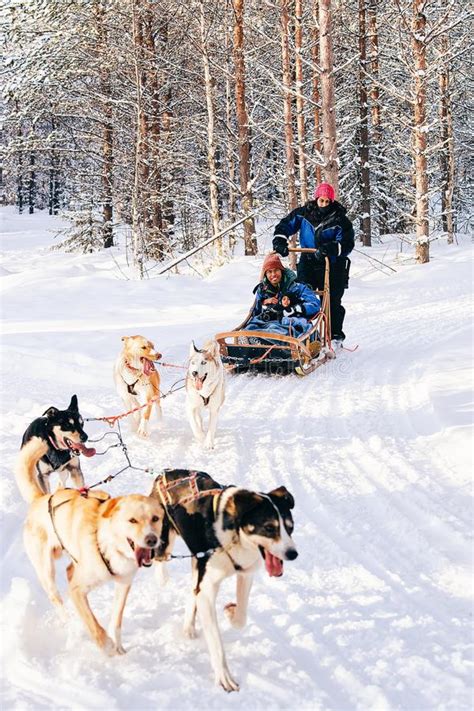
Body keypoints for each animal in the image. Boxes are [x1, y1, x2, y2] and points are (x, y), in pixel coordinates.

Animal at [15, 440, 165, 656]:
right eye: (132, 520)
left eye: (155, 518)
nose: (152, 540)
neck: (108, 544)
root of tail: (41, 498)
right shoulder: (78, 591)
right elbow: (93, 624)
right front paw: (106, 645)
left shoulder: (124, 583)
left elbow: (116, 619)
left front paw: (118, 645)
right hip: (46, 570)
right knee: (56, 597)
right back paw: (69, 622)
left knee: (69, 571)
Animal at [150, 470, 298, 692]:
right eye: (269, 528)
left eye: (290, 527)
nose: (293, 554)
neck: (234, 536)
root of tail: (166, 472)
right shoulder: (208, 590)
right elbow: (216, 642)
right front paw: (224, 677)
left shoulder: (245, 574)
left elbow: (242, 617)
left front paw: (231, 612)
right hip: (165, 540)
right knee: (160, 559)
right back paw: (162, 578)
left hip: (197, 561)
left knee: (192, 589)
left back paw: (189, 626)